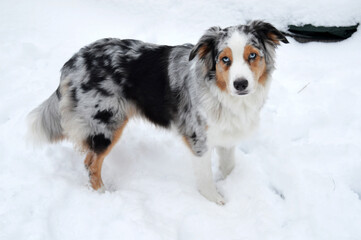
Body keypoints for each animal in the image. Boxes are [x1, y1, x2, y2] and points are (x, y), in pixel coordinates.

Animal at [27, 20, 286, 204]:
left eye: (252, 55)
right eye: (225, 59)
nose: (241, 84)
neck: (221, 93)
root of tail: (73, 61)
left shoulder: (226, 134)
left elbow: (229, 166)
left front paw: (231, 183)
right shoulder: (197, 138)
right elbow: (205, 177)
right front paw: (215, 199)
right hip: (106, 122)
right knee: (91, 162)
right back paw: (103, 195)